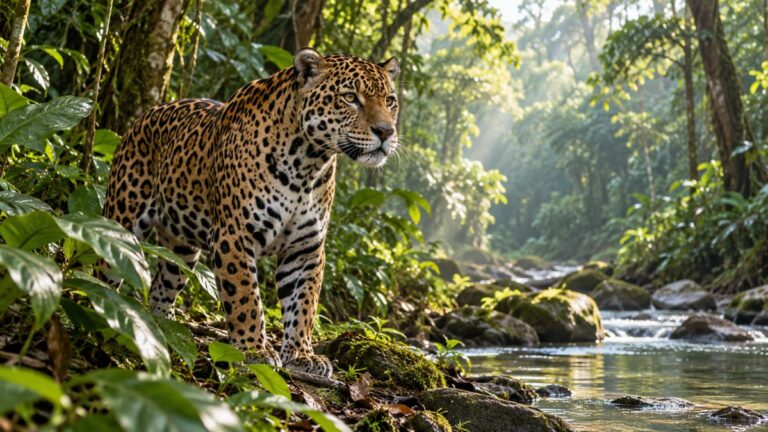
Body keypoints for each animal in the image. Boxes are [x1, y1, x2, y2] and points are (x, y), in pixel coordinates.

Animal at [103, 48, 400, 377]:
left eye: (390, 100)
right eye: (349, 97)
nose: (386, 131)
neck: (307, 162)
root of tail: (145, 114)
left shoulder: (305, 248)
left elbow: (304, 304)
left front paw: (301, 354)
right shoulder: (233, 237)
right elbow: (246, 299)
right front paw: (253, 351)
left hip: (181, 252)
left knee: (162, 286)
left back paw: (162, 331)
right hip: (121, 220)